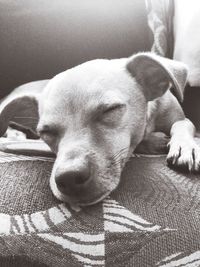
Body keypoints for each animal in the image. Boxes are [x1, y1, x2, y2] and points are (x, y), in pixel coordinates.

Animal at [0, 52, 200, 207]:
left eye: (110, 110)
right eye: (46, 132)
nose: (69, 177)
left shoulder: (178, 118)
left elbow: (182, 124)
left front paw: (185, 146)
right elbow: (142, 140)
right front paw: (156, 140)